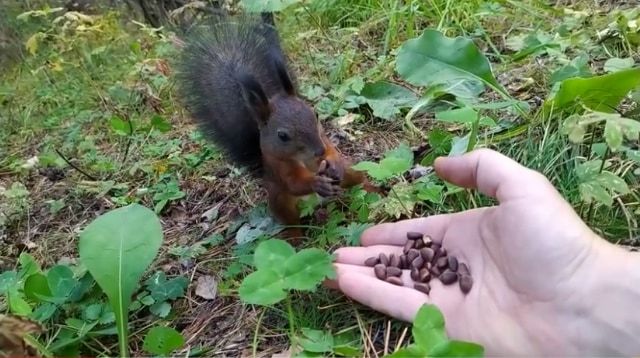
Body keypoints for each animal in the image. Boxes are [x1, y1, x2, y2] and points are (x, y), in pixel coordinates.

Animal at [172, 14, 378, 239]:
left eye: (315, 114)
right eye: (282, 135)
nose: (318, 151)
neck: (303, 158)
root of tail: (317, 204)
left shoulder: (324, 140)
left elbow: (333, 152)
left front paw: (332, 162)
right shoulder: (279, 167)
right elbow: (294, 183)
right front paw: (315, 182)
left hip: (352, 172)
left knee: (358, 180)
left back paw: (375, 190)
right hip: (281, 203)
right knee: (293, 223)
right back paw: (295, 239)